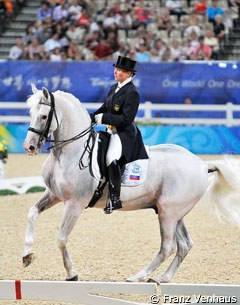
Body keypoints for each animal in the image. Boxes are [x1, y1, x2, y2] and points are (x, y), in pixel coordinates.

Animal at [23, 83, 240, 282]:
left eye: (44, 116)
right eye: (30, 112)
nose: (29, 147)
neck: (70, 152)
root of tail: (203, 165)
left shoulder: (75, 203)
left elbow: (61, 239)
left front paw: (71, 273)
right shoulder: (54, 195)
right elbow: (32, 213)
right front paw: (27, 255)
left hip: (168, 213)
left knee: (167, 247)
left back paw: (139, 276)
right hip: (174, 212)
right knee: (184, 245)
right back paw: (163, 278)